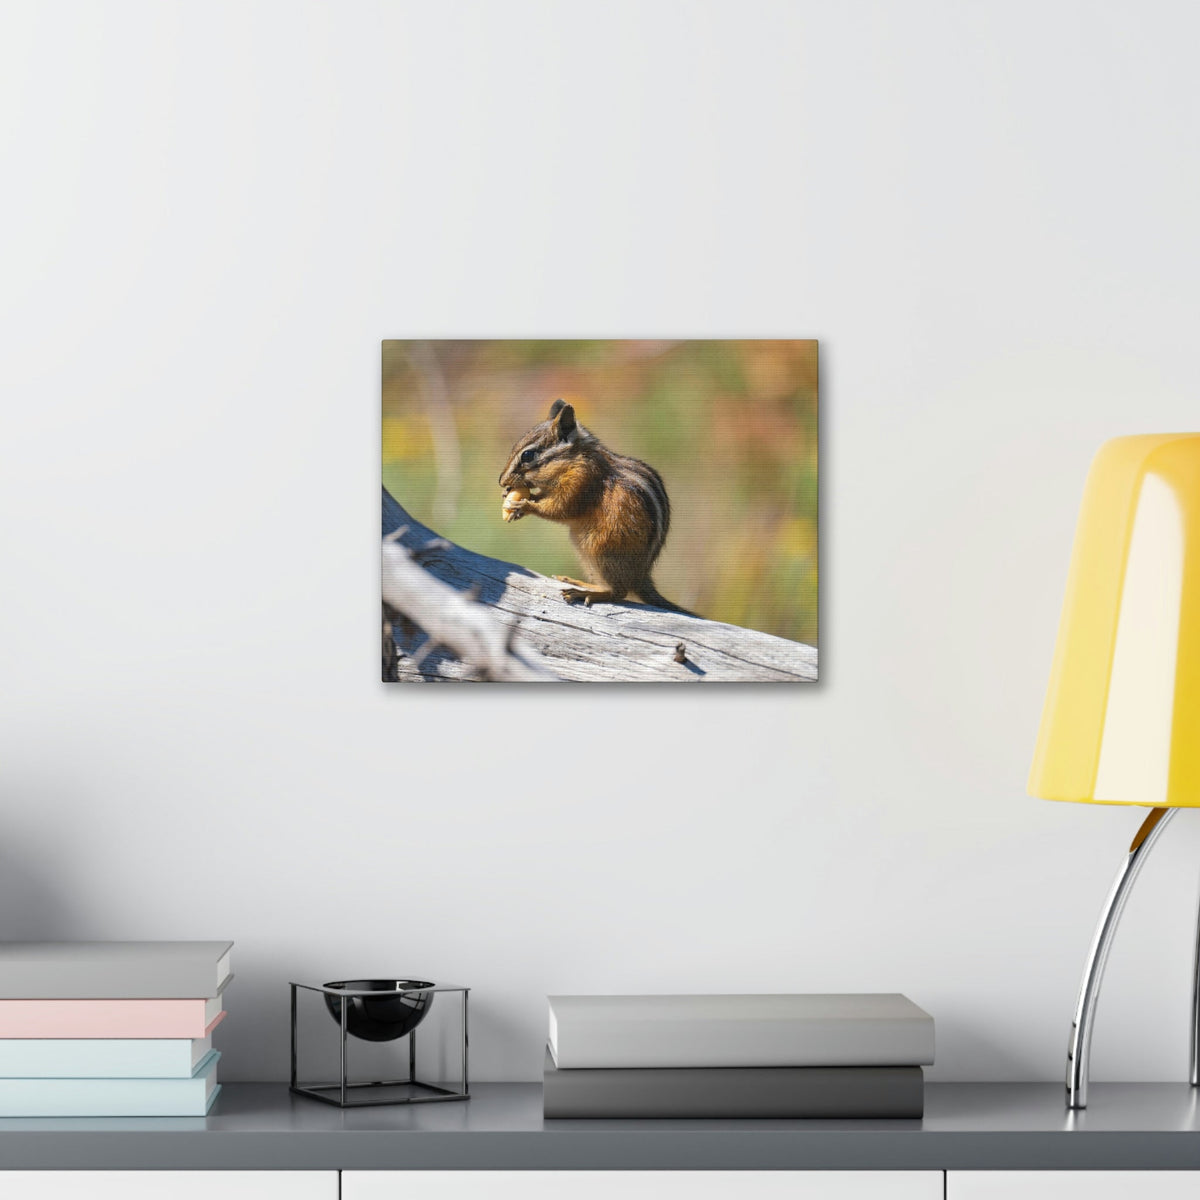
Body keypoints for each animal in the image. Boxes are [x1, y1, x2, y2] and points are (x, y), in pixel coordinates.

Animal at [498, 399, 695, 615]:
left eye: (527, 455)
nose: (501, 481)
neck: (574, 459)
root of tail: (640, 577)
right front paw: (513, 499)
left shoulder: (582, 482)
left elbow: (561, 509)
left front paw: (524, 505)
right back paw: (578, 582)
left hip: (602, 549)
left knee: (619, 592)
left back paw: (584, 593)